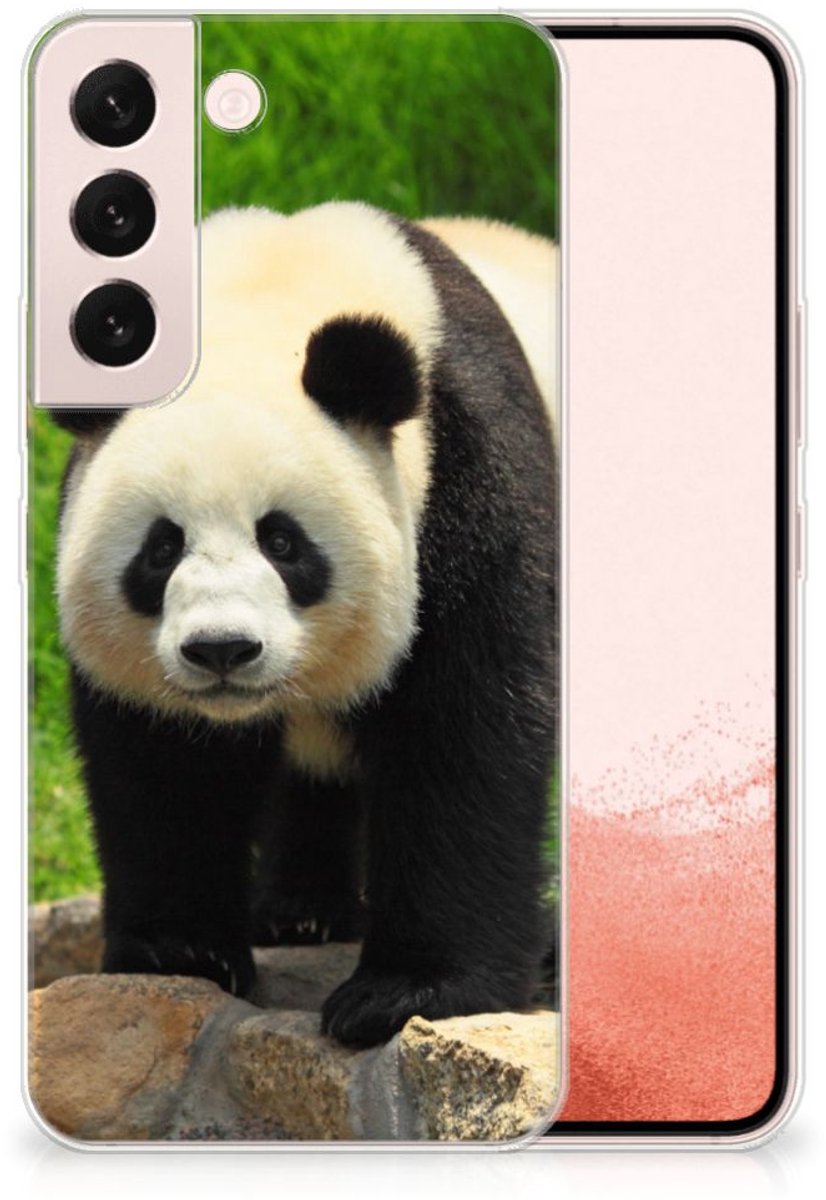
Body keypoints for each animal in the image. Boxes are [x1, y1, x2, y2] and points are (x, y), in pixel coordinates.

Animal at [53, 202, 558, 1047]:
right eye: (161, 547)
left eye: (283, 542)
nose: (222, 650)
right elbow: (165, 764)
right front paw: (180, 950)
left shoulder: (471, 478)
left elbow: (466, 732)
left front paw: (408, 991)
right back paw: (300, 911)